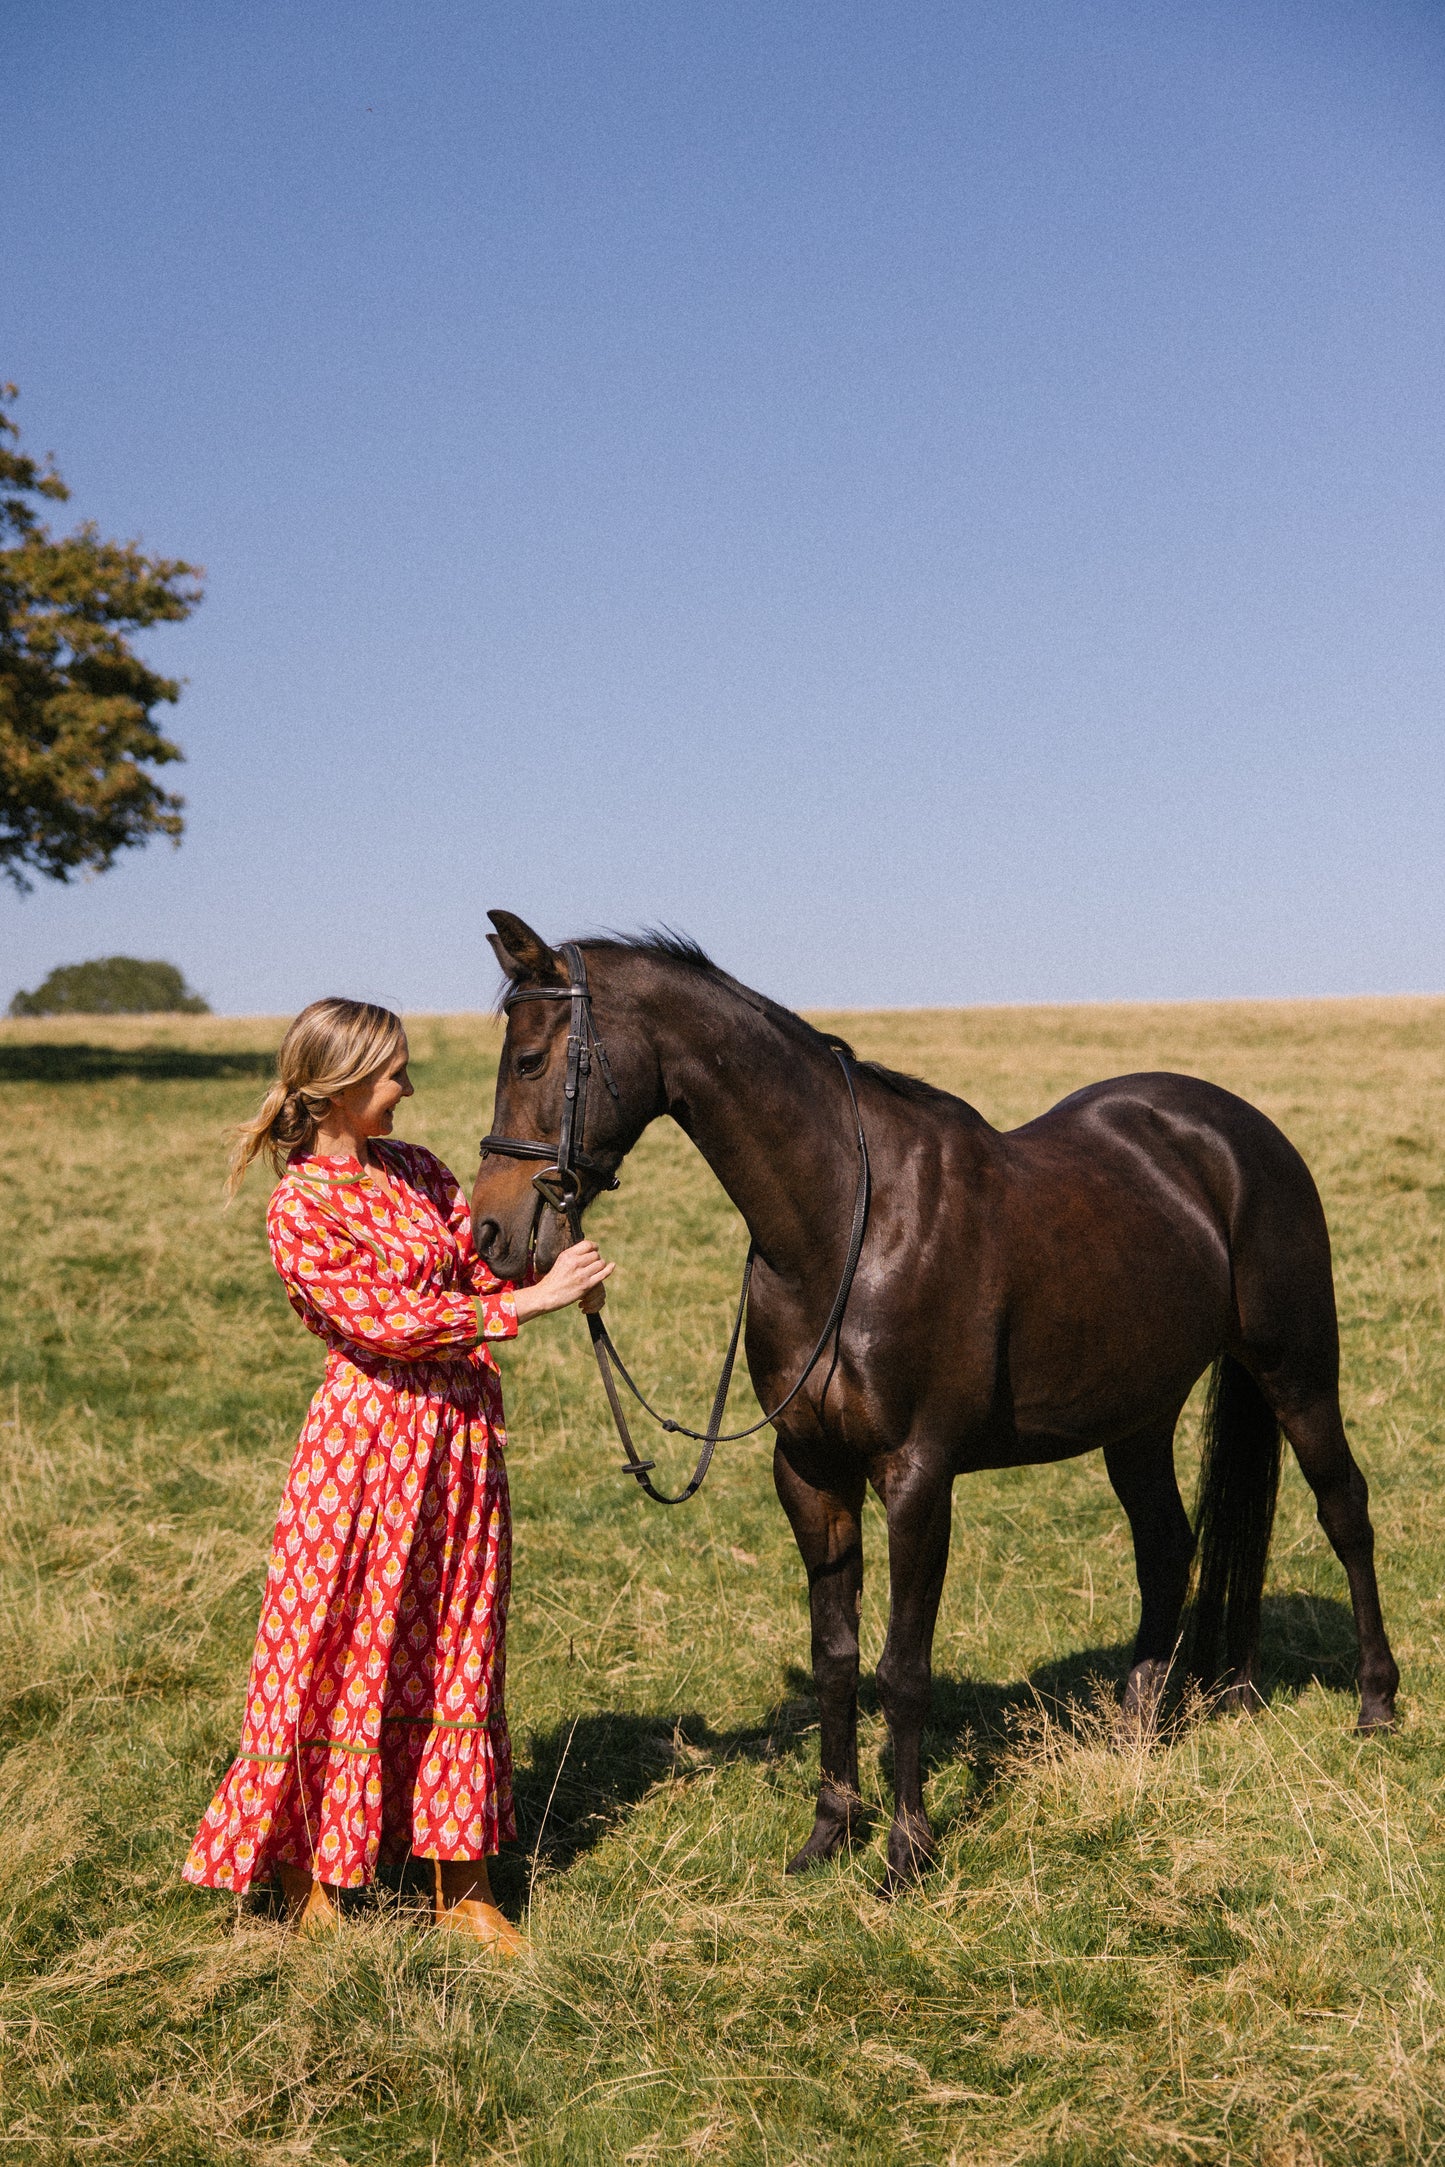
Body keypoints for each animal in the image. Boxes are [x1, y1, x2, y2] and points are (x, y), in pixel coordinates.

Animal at [474, 910, 1403, 1880]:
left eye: (530, 1060)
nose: (492, 1230)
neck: (846, 1220)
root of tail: (1238, 1130)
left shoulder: (916, 1475)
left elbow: (901, 1667)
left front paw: (906, 1851)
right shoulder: (809, 1471)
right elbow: (836, 1656)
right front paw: (828, 1832)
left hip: (1295, 1370)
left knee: (1344, 1509)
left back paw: (1375, 1704)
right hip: (1138, 1415)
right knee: (1165, 1545)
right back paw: (1135, 1729)